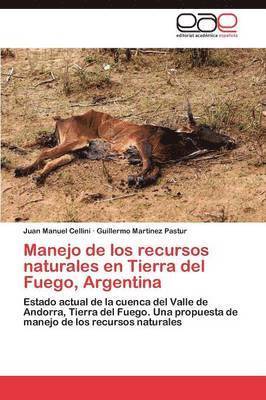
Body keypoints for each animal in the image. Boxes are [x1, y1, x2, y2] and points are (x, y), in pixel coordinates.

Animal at [14, 105, 236, 188]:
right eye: (205, 128)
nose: (231, 141)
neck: (172, 139)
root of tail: (63, 119)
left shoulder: (155, 159)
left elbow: (155, 170)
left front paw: (140, 180)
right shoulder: (141, 144)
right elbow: (147, 165)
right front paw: (135, 179)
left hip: (74, 152)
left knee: (52, 162)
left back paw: (38, 176)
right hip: (77, 142)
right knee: (44, 153)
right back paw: (23, 170)